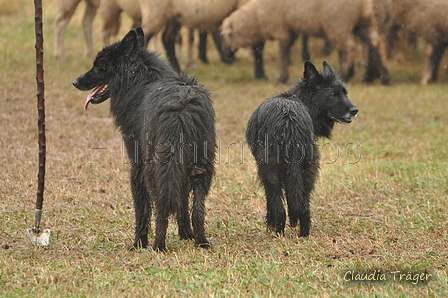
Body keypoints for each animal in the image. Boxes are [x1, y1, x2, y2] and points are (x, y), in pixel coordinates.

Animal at [72, 28, 215, 251]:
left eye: (98, 65)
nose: (75, 82)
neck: (140, 80)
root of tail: (181, 108)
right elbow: (182, 202)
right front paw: (186, 234)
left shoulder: (137, 167)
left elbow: (142, 209)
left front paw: (139, 242)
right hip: (201, 167)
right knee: (198, 210)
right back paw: (201, 242)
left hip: (155, 170)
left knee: (162, 209)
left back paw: (158, 246)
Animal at [220, 0, 388, 84]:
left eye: (225, 36)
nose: (226, 58)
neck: (256, 17)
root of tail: (364, 3)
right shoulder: (290, 30)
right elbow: (286, 52)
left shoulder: (280, 29)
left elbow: (283, 54)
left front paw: (282, 78)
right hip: (363, 21)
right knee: (376, 43)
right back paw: (384, 77)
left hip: (337, 24)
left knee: (351, 48)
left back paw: (342, 74)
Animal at [247, 60, 358, 237]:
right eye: (333, 95)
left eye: (344, 93)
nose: (354, 111)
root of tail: (289, 121)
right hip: (308, 169)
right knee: (304, 206)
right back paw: (304, 234)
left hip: (270, 171)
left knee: (278, 206)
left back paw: (278, 233)